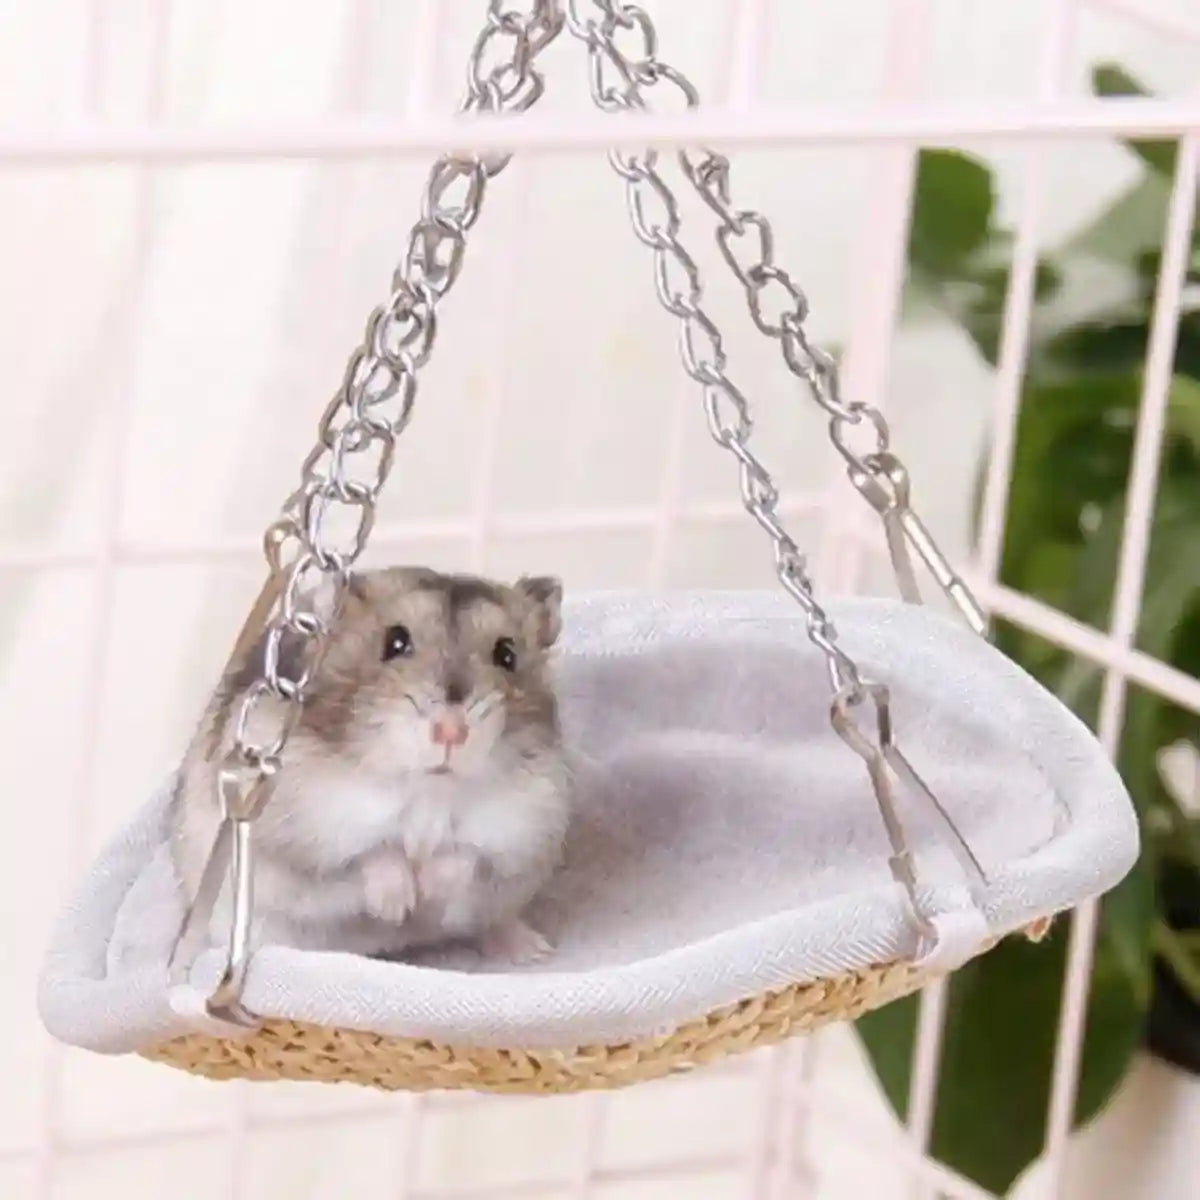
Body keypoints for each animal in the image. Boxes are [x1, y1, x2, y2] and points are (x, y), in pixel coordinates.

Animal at [169, 566, 571, 966]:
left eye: (507, 654)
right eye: (395, 643)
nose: (451, 732)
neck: (428, 790)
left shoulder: (527, 831)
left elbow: (467, 857)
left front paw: (429, 889)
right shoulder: (303, 835)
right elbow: (372, 854)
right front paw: (399, 907)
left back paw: (532, 949)